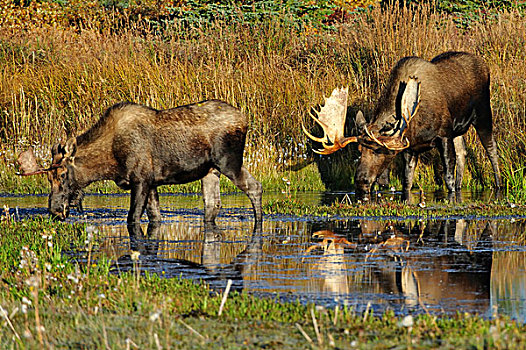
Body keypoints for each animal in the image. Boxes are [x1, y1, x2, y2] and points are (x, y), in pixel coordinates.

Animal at [16, 99, 264, 224]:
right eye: (48, 177)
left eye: (62, 174)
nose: (55, 210)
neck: (109, 163)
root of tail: (245, 119)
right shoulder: (152, 182)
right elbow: (155, 216)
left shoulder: (141, 180)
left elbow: (133, 217)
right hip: (210, 171)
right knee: (213, 204)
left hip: (228, 162)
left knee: (254, 186)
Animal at [306, 52, 504, 200]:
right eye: (360, 150)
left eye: (378, 151)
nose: (361, 181)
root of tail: (484, 64)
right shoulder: (410, 147)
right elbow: (407, 181)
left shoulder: (443, 135)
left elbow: (448, 176)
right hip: (459, 130)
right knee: (463, 152)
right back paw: (461, 185)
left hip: (483, 113)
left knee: (491, 149)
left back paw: (499, 184)